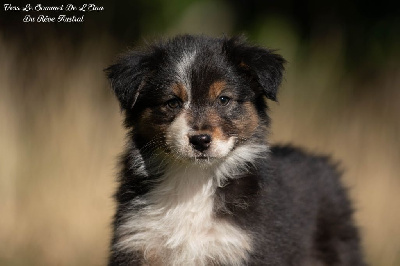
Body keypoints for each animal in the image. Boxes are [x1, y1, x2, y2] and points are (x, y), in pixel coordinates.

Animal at [104, 35, 364, 266]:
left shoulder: (242, 247)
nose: (200, 140)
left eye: (223, 99)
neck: (195, 179)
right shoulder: (136, 242)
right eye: (173, 102)